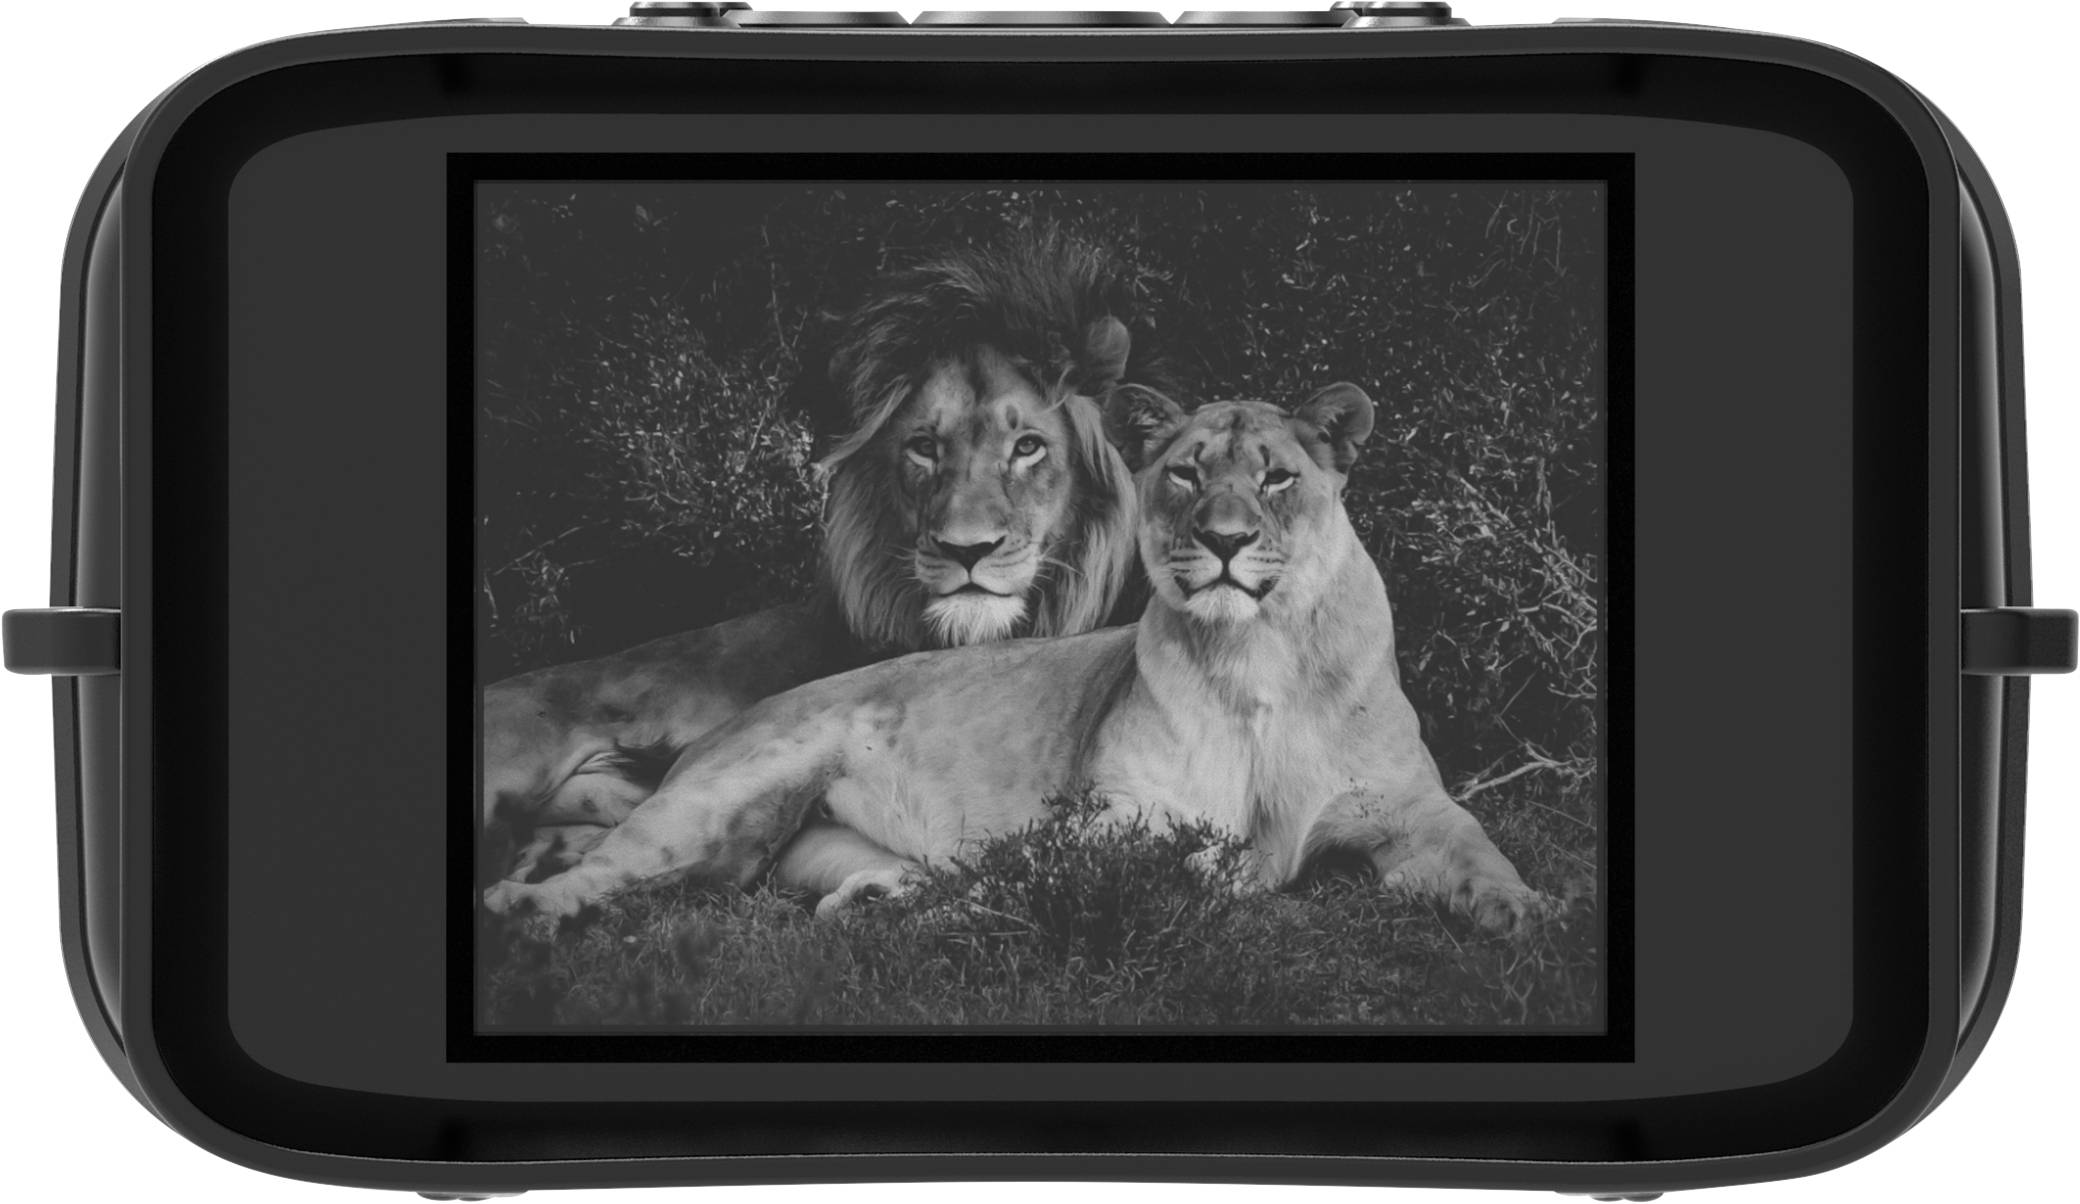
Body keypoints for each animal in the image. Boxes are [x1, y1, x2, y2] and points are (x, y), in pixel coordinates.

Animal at [483, 382, 1541, 934]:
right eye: (1186, 473)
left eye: (1278, 477)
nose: (1227, 540)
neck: (1259, 657)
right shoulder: (1113, 815)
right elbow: (1112, 864)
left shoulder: (1410, 810)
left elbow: (1479, 852)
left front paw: (1530, 916)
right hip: (717, 800)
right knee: (604, 870)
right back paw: (525, 907)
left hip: (775, 847)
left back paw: (879, 904)